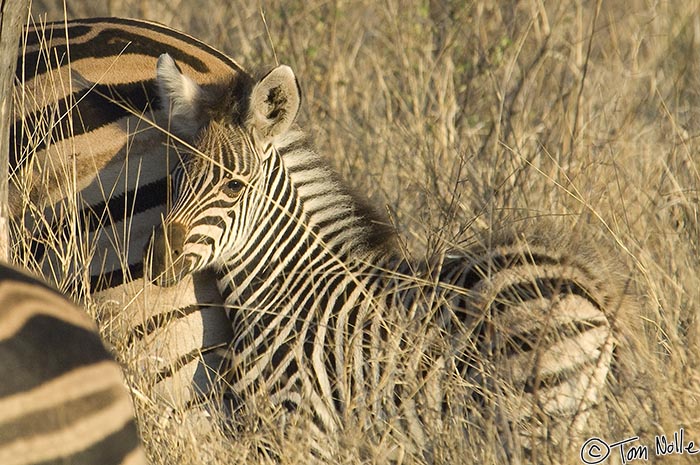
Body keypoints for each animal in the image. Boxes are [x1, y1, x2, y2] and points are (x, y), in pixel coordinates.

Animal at [149, 51, 624, 460]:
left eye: (233, 185)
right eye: (176, 179)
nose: (156, 259)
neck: (287, 292)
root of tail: (590, 290)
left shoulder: (303, 427)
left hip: (531, 416)